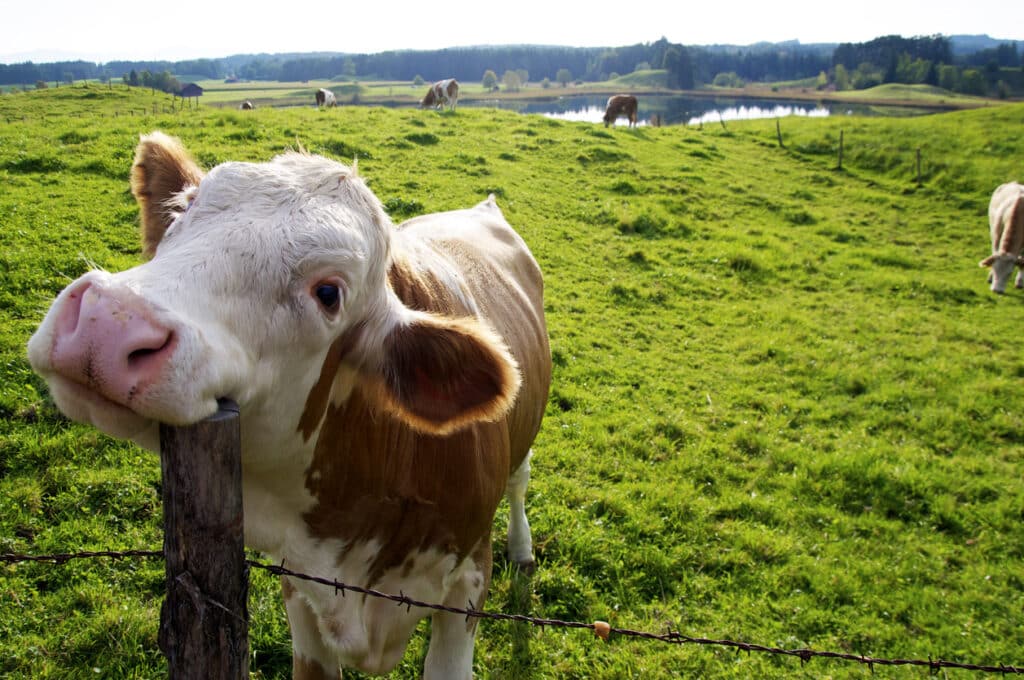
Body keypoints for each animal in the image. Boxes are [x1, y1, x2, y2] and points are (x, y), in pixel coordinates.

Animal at [25, 133, 552, 680]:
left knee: (520, 480)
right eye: (183, 211)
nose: (107, 322)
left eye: (329, 293)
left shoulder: (467, 585)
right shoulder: (301, 587)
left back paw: (523, 548)